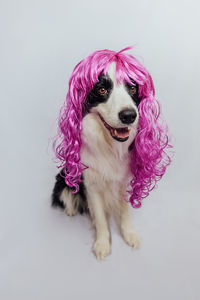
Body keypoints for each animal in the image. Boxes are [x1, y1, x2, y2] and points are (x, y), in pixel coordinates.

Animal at [51, 45, 172, 258]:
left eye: (132, 88)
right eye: (102, 89)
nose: (129, 115)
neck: (110, 147)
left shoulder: (125, 181)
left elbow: (125, 212)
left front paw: (129, 235)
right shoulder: (91, 184)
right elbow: (99, 217)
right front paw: (102, 244)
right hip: (62, 177)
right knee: (66, 194)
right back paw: (71, 210)